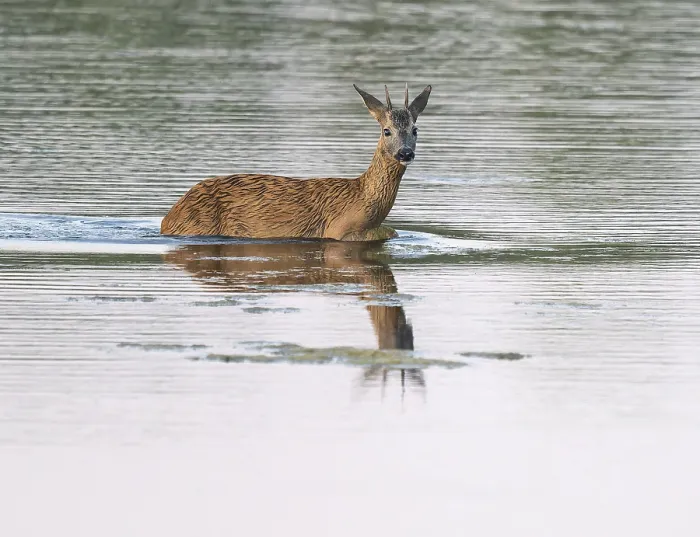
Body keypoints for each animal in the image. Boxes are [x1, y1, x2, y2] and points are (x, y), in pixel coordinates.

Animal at [160, 83, 432, 241]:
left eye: (415, 129)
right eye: (386, 131)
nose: (405, 153)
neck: (361, 196)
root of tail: (168, 217)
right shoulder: (337, 230)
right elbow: (391, 231)